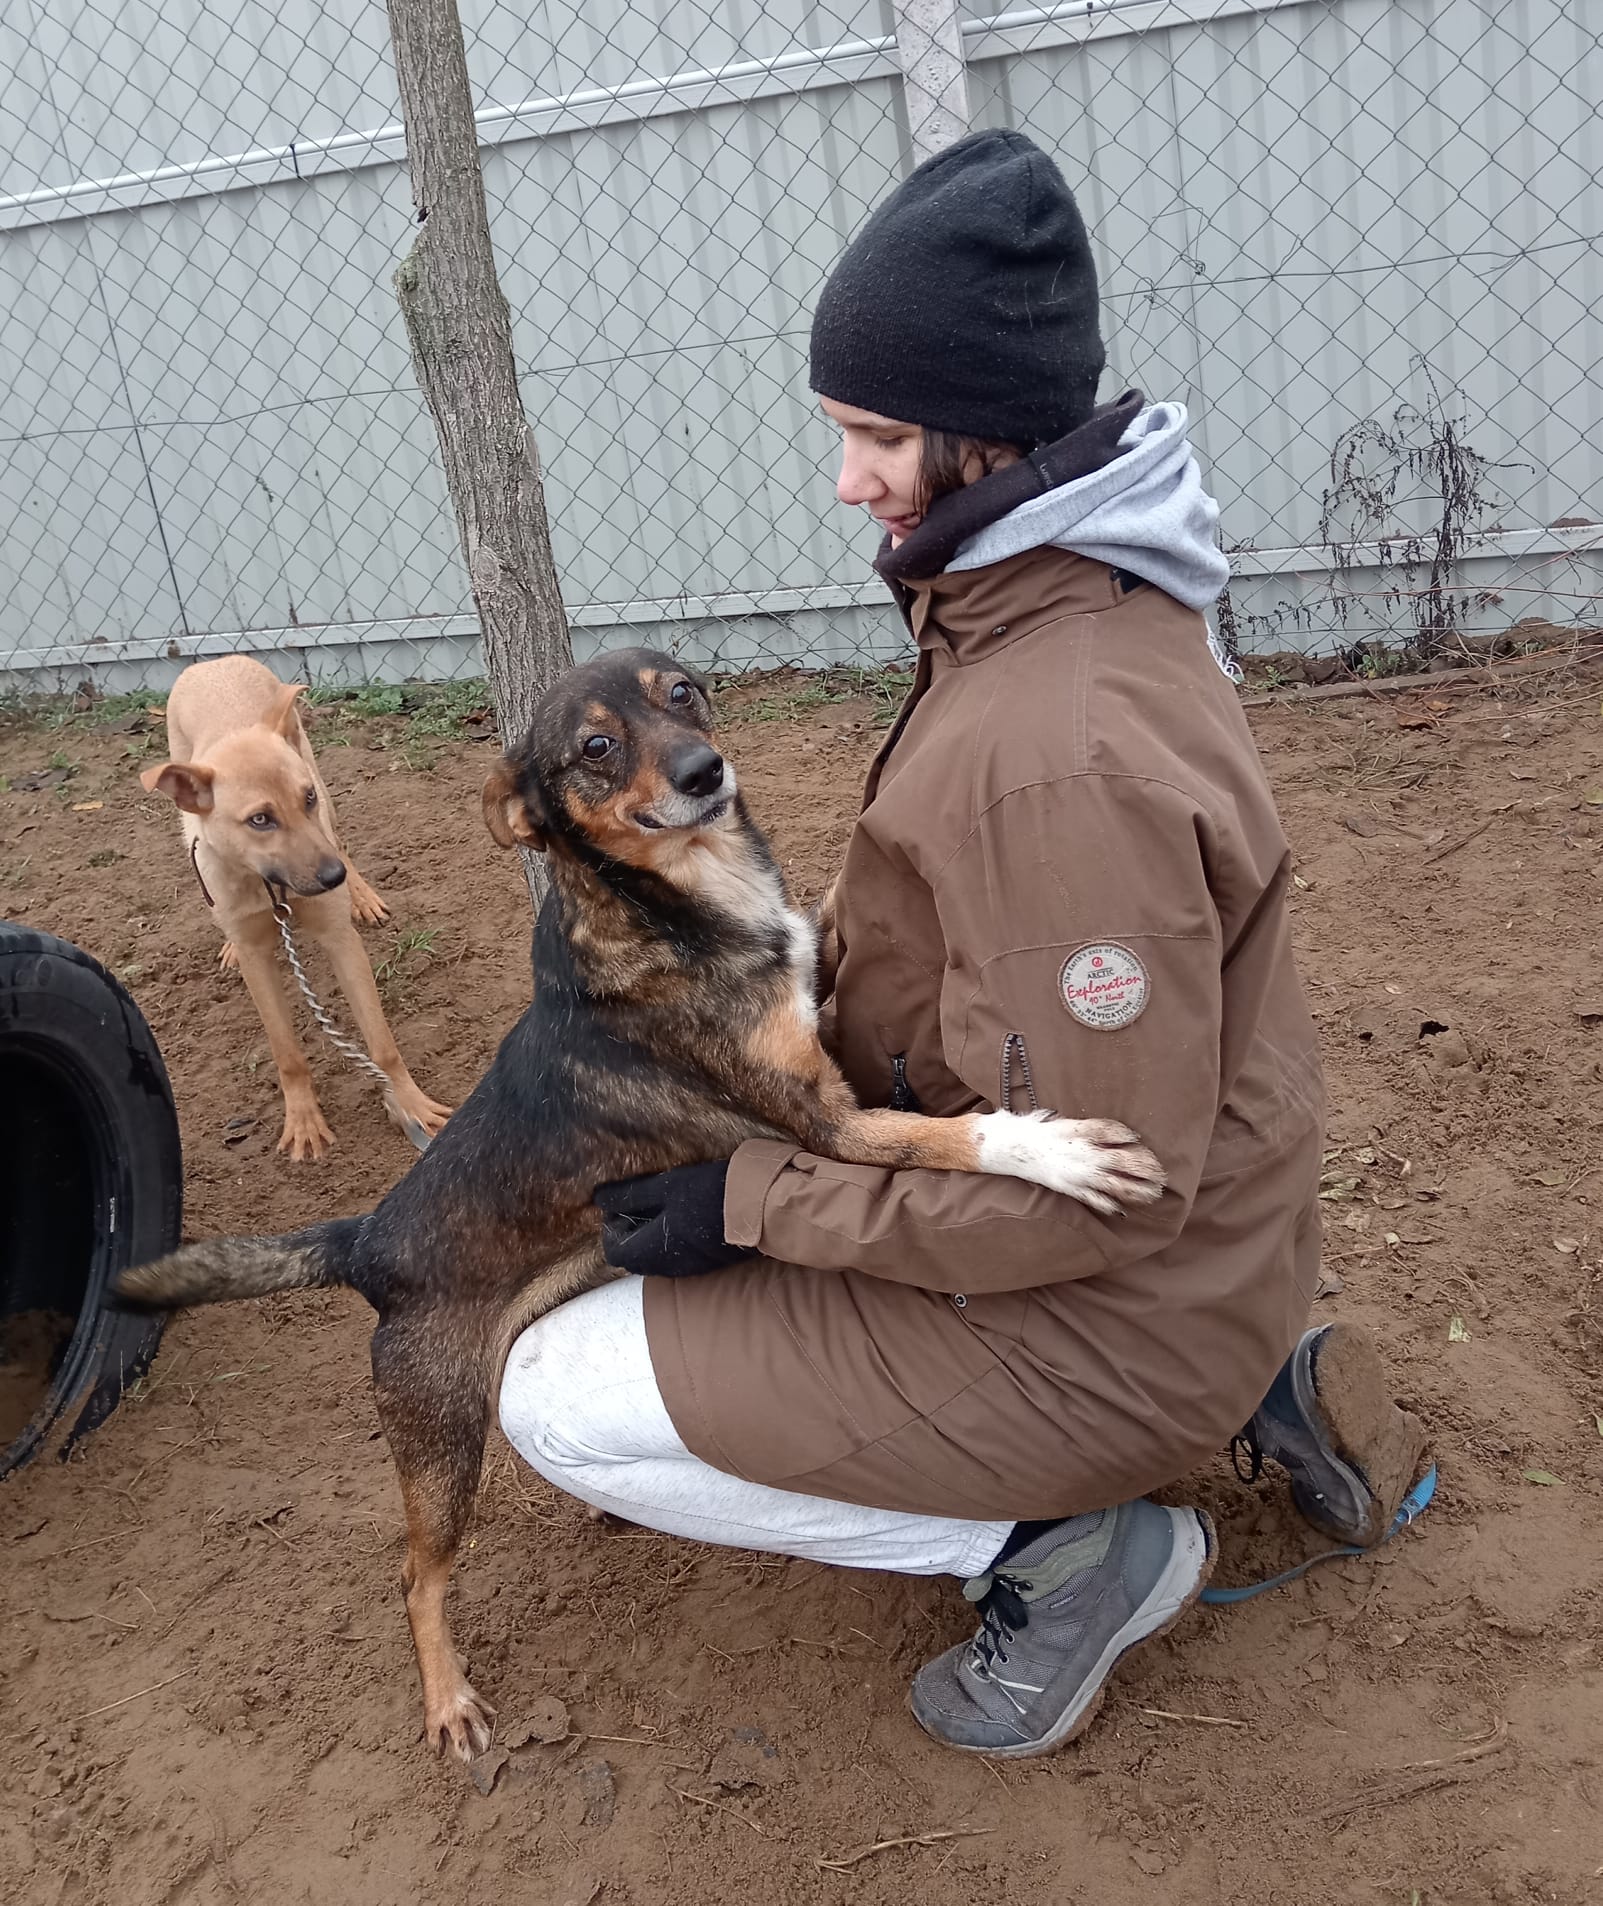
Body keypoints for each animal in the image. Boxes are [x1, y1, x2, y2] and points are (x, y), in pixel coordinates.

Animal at [141, 656, 451, 1159]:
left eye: (303, 799)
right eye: (260, 819)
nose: (333, 879)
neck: (271, 887)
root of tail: (214, 661)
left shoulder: (340, 939)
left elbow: (381, 1044)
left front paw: (410, 1105)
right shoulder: (257, 958)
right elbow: (286, 1052)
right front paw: (303, 1120)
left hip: (317, 776)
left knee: (339, 838)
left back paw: (361, 894)